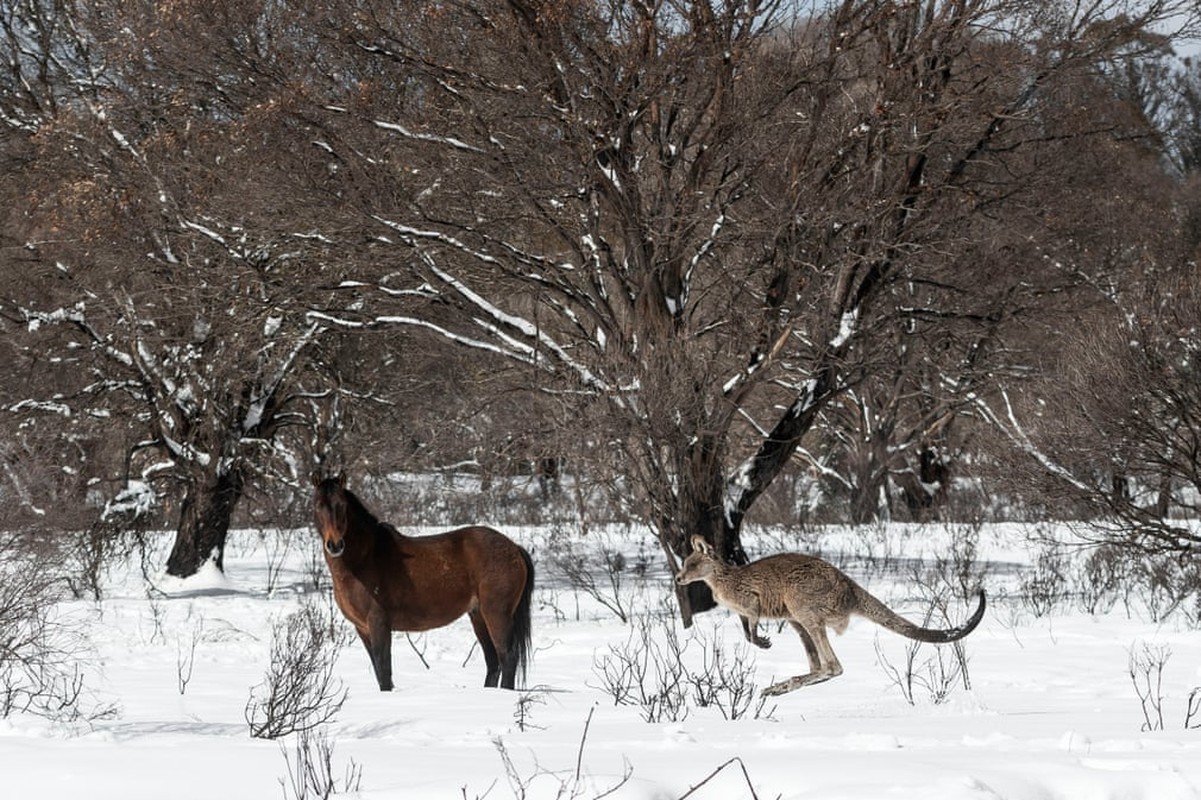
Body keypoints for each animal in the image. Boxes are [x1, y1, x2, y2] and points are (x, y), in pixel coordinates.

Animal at [312, 470, 533, 687]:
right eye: (318, 505)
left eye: (342, 505)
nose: (335, 545)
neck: (363, 560)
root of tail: (514, 548)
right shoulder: (362, 628)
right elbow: (379, 673)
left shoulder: (379, 623)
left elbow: (384, 673)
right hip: (478, 615)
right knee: (493, 663)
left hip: (497, 614)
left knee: (507, 658)